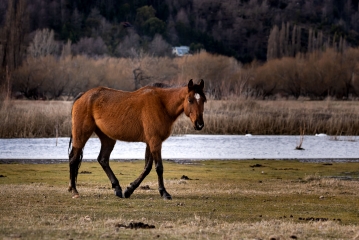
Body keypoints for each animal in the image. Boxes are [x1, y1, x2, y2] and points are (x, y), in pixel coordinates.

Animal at [68, 79, 207, 200]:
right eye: (190, 100)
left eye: (204, 100)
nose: (199, 124)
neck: (162, 104)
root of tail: (83, 95)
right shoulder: (155, 142)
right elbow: (158, 167)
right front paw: (164, 193)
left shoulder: (151, 143)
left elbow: (147, 168)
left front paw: (129, 190)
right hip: (81, 135)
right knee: (74, 159)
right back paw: (74, 191)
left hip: (108, 139)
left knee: (102, 159)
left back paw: (117, 188)